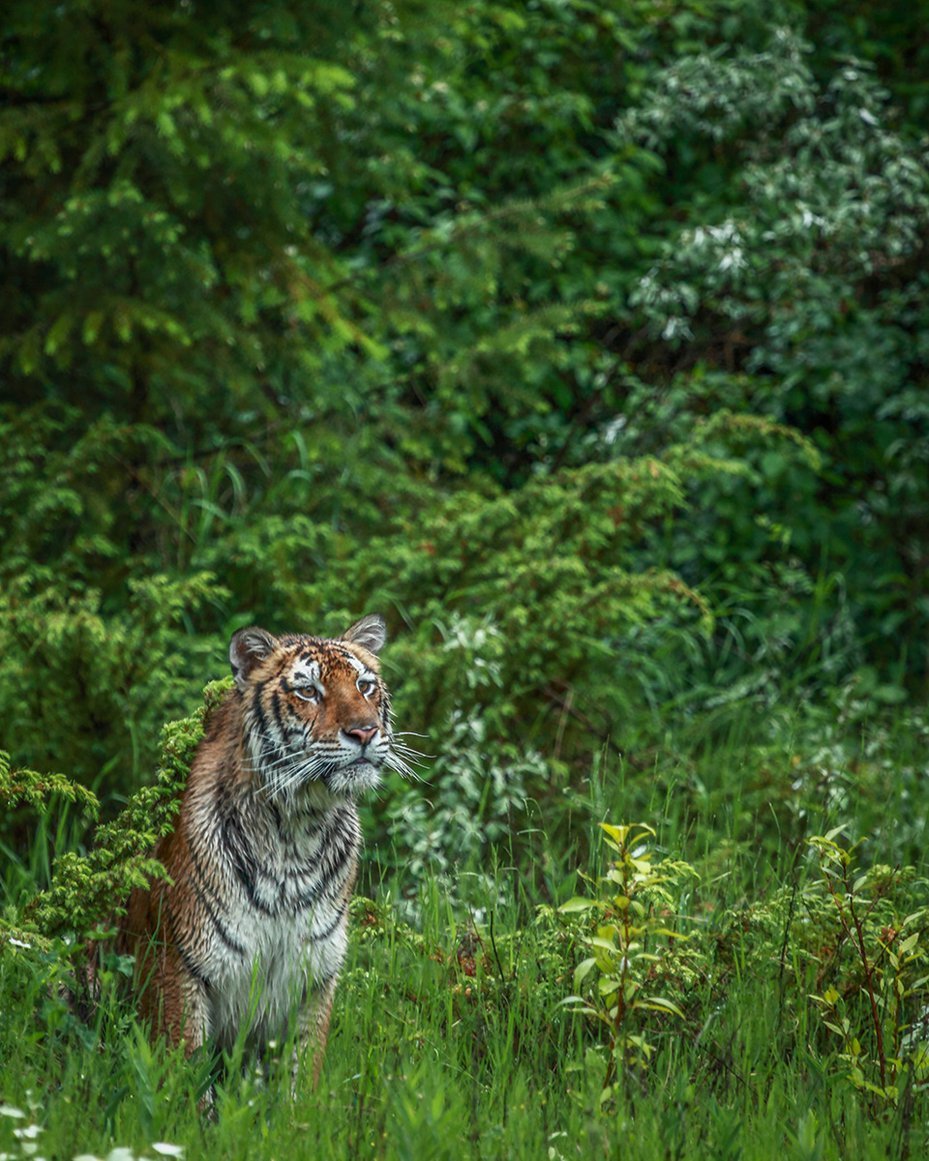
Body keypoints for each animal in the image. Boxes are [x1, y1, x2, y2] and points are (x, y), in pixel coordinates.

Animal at [113, 617, 394, 1086]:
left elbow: (302, 1076)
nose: (365, 732)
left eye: (364, 686)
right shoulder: (180, 964)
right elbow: (186, 1076)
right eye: (308, 691)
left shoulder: (314, 974)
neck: (298, 830)